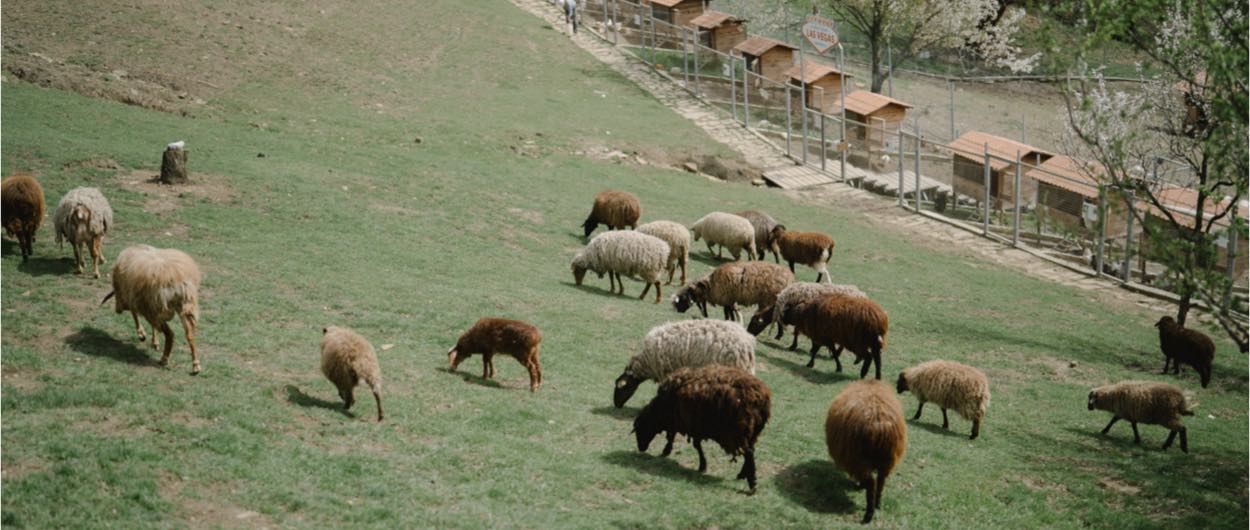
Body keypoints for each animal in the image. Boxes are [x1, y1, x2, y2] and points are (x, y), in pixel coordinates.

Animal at [100, 244, 203, 374]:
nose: (117, 310)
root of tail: (175, 278)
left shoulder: (138, 300)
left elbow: (134, 313)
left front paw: (143, 335)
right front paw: (154, 342)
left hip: (157, 306)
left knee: (170, 333)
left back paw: (164, 359)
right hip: (186, 306)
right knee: (189, 334)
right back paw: (196, 365)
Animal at [633, 365, 771, 494]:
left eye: (640, 429)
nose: (641, 449)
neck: (662, 407)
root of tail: (760, 397)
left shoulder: (688, 423)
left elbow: (691, 443)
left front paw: (701, 465)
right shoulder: (689, 424)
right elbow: (678, 437)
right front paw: (668, 450)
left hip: (738, 431)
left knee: (748, 452)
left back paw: (752, 482)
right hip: (751, 431)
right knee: (750, 450)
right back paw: (743, 474)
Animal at [825, 380, 907, 524]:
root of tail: (880, 425)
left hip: (859, 459)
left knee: (871, 482)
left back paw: (868, 514)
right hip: (887, 460)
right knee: (881, 481)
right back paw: (878, 504)